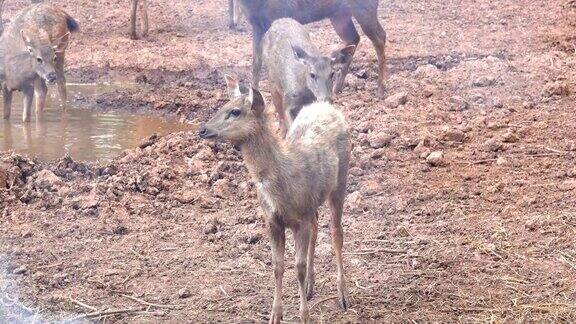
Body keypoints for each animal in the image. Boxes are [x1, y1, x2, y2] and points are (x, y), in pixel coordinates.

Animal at [198, 75, 352, 322]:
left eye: (235, 111)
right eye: (223, 105)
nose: (202, 129)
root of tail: (325, 105)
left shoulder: (299, 219)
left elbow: (297, 267)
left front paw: (304, 316)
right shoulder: (272, 220)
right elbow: (277, 266)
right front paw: (275, 315)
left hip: (340, 180)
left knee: (337, 233)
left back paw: (343, 295)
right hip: (313, 202)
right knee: (317, 225)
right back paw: (310, 286)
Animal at [238, 0, 388, 97]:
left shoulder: (282, 14)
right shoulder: (256, 24)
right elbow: (256, 63)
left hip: (364, 9)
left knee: (380, 36)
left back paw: (380, 90)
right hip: (339, 16)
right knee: (354, 38)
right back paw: (337, 86)